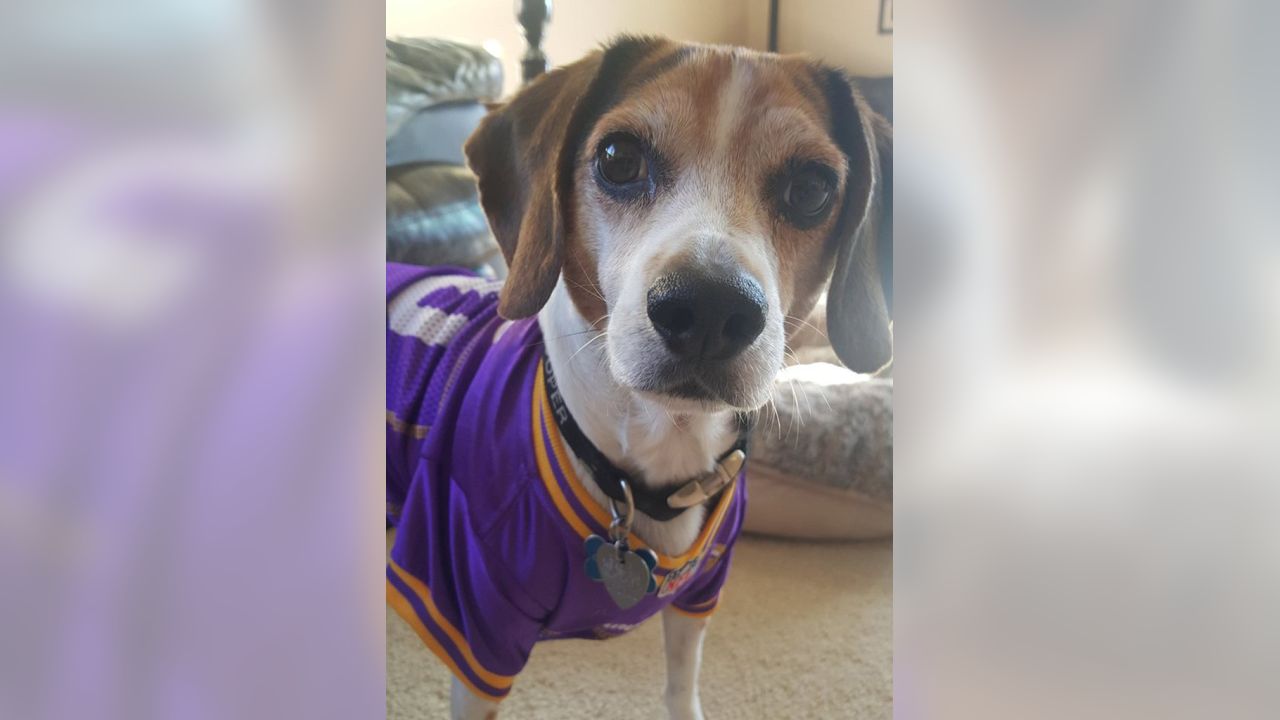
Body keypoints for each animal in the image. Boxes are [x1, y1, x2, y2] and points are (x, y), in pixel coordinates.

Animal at [384, 35, 896, 717]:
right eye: (618, 158)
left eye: (812, 188)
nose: (709, 309)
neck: (648, 462)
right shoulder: (469, 625)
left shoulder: (697, 599)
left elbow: (681, 687)